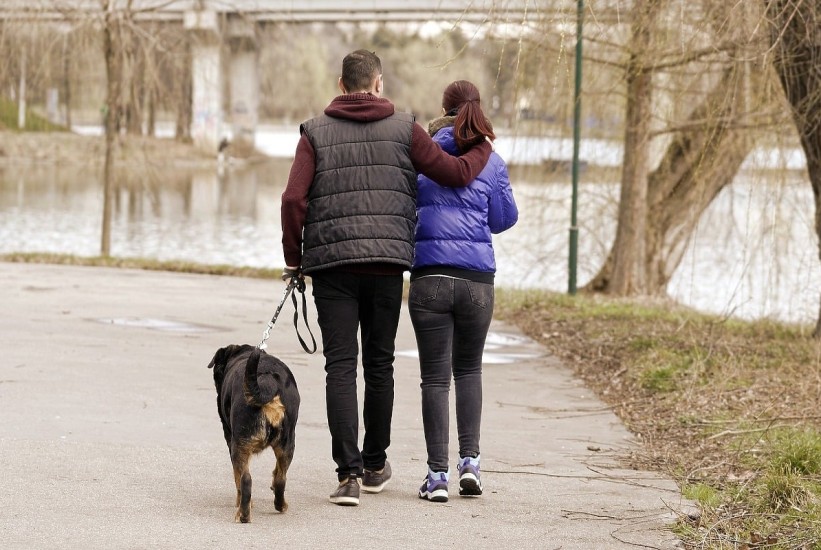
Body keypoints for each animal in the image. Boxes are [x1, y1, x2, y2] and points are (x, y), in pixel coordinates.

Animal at [207, 348, 300, 524]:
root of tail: (267, 380)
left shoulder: (231, 439)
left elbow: (237, 480)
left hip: (239, 445)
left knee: (245, 480)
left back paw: (243, 514)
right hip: (287, 443)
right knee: (281, 479)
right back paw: (280, 505)